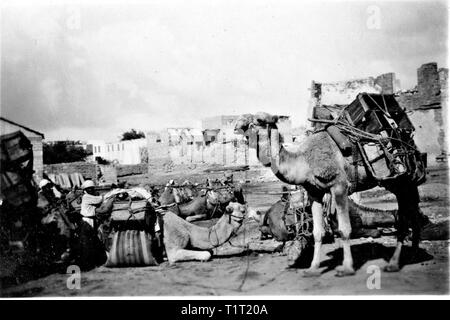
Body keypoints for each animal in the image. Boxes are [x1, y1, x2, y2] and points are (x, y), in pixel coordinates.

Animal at [236, 113, 426, 278]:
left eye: (259, 120)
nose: (238, 126)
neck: (304, 162)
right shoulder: (315, 193)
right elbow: (317, 232)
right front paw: (312, 269)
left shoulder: (339, 186)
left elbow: (345, 229)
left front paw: (347, 268)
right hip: (397, 183)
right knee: (410, 213)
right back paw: (412, 255)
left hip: (402, 180)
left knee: (406, 216)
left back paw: (394, 263)